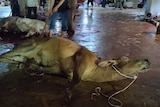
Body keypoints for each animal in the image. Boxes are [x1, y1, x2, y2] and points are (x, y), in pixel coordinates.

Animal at [0, 36, 150, 98]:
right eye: (125, 59)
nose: (147, 60)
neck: (93, 72)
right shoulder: (82, 56)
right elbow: (76, 80)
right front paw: (69, 92)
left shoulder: (58, 69)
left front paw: (32, 66)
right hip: (27, 46)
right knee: (3, 54)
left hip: (21, 54)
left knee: (11, 58)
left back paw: (21, 64)